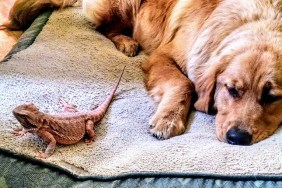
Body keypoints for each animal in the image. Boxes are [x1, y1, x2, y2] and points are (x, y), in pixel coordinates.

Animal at [2, 0, 282, 145]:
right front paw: (168, 119)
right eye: (231, 90)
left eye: (272, 97)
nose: (238, 138)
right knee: (103, 28)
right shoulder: (163, 55)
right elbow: (185, 84)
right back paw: (126, 41)